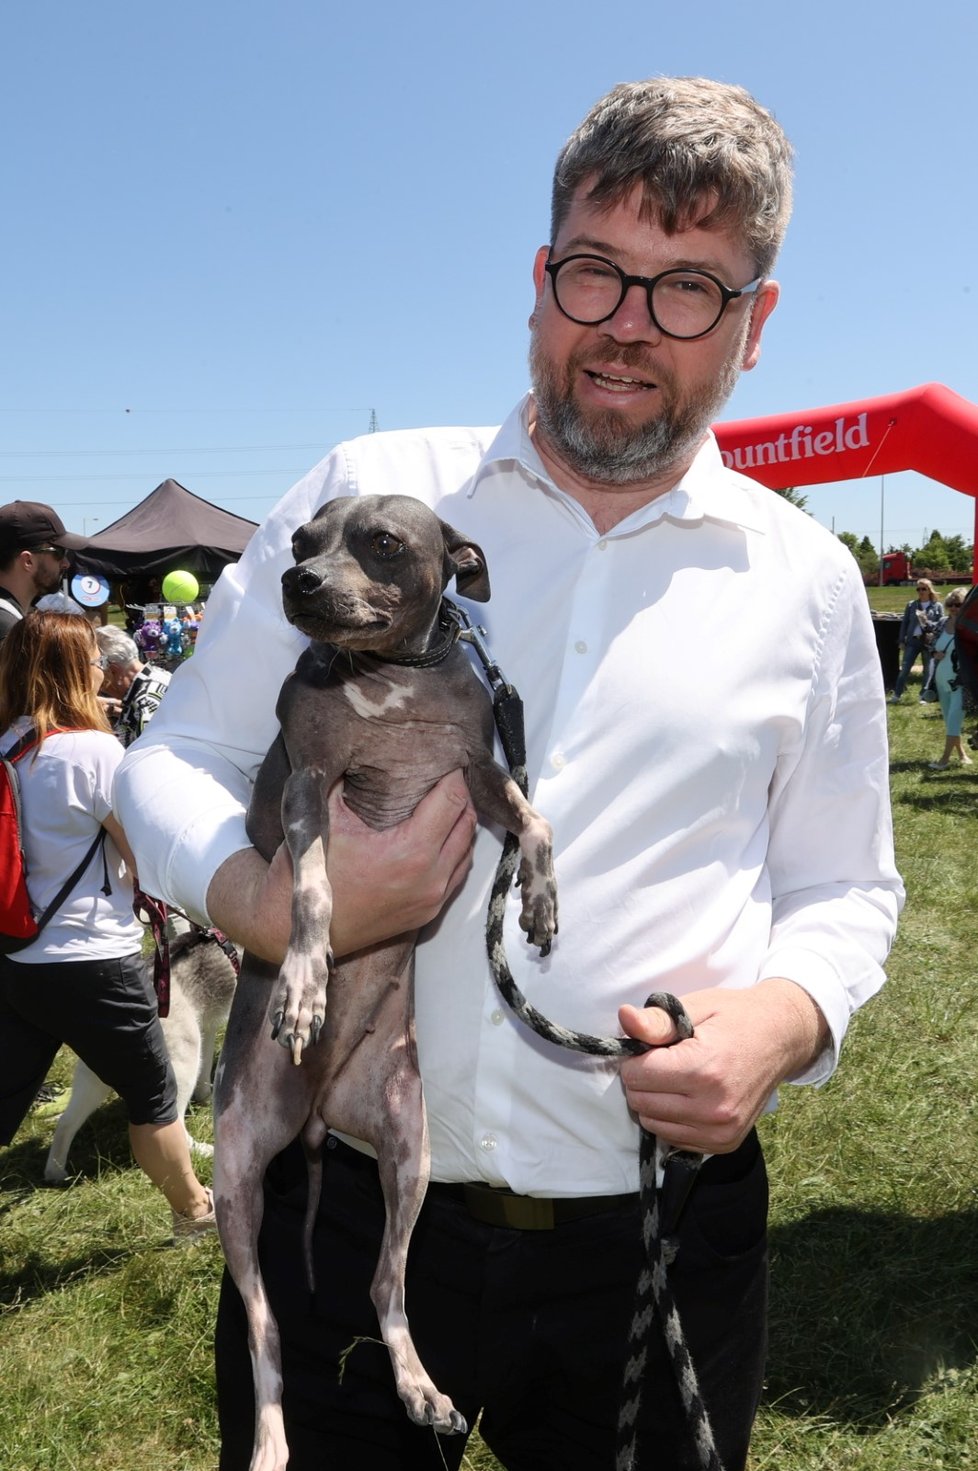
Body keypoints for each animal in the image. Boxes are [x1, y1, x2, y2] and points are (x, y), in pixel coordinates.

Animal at [211, 494, 555, 1471]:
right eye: (300, 541)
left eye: (384, 543)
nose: (297, 581)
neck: (396, 682)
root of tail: (320, 1107)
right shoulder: (309, 787)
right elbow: (316, 891)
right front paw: (302, 982)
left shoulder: (481, 775)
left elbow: (538, 822)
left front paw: (541, 899)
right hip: (238, 1177)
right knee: (269, 1333)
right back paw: (272, 1440)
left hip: (408, 1145)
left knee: (383, 1286)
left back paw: (419, 1386)